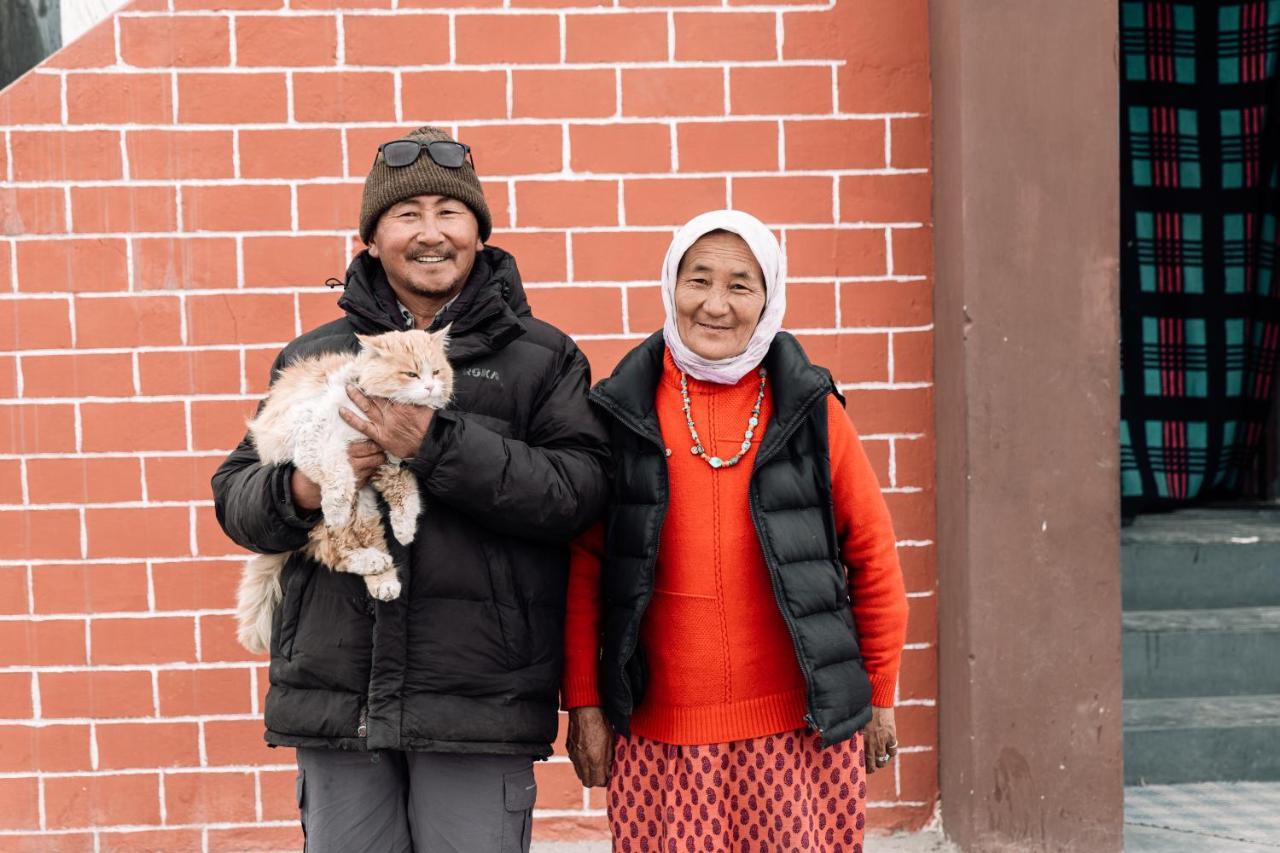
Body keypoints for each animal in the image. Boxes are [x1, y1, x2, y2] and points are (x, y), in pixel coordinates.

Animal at [236, 325, 455, 650]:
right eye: (411, 374)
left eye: (437, 372)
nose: (430, 387)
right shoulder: (315, 440)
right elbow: (336, 473)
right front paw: (336, 504)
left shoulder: (389, 462)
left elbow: (405, 495)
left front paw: (405, 530)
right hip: (330, 518)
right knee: (335, 549)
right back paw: (369, 557)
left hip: (365, 508)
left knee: (367, 540)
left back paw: (384, 577)